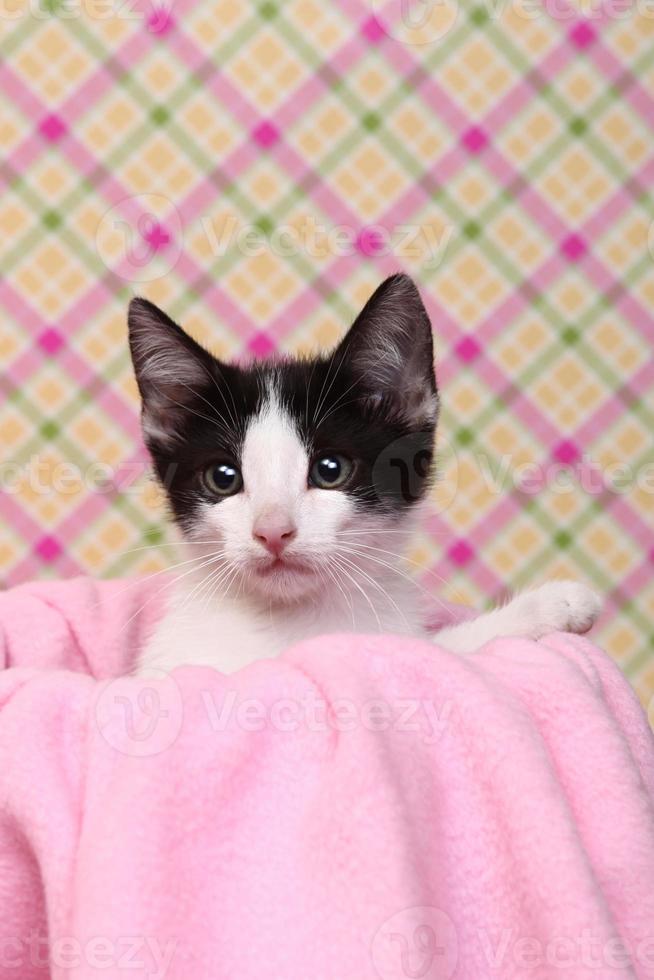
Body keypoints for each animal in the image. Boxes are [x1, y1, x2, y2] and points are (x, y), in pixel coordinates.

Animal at [129, 274, 604, 672]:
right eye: (223, 478)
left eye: (330, 470)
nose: (273, 531)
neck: (292, 623)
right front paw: (553, 603)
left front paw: (552, 605)